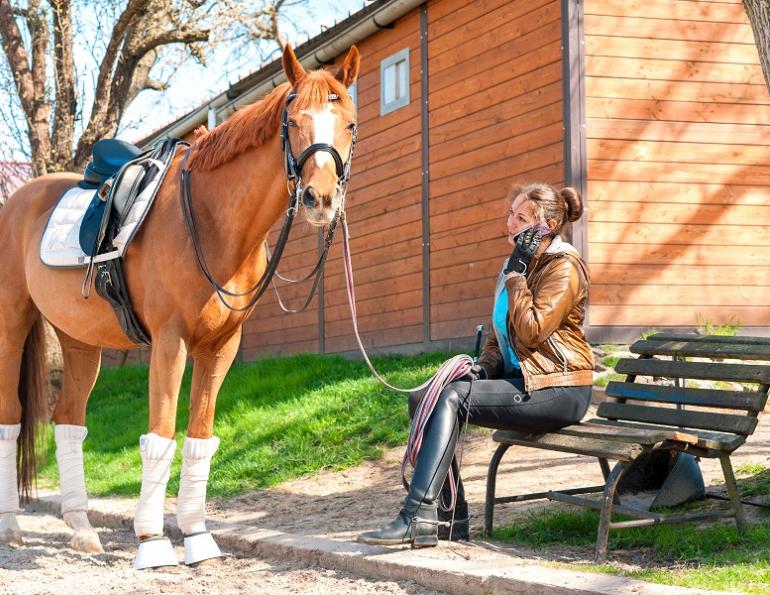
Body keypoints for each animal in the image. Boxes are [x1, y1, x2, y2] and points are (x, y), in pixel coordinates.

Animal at [0, 44, 359, 568]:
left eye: (349, 123)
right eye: (293, 121)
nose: (320, 198)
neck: (211, 221)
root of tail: (18, 199)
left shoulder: (221, 347)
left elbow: (199, 439)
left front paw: (197, 537)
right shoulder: (171, 342)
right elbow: (161, 435)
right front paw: (152, 543)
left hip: (79, 338)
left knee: (68, 420)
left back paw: (82, 529)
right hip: (11, 323)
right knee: (9, 418)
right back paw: (10, 527)